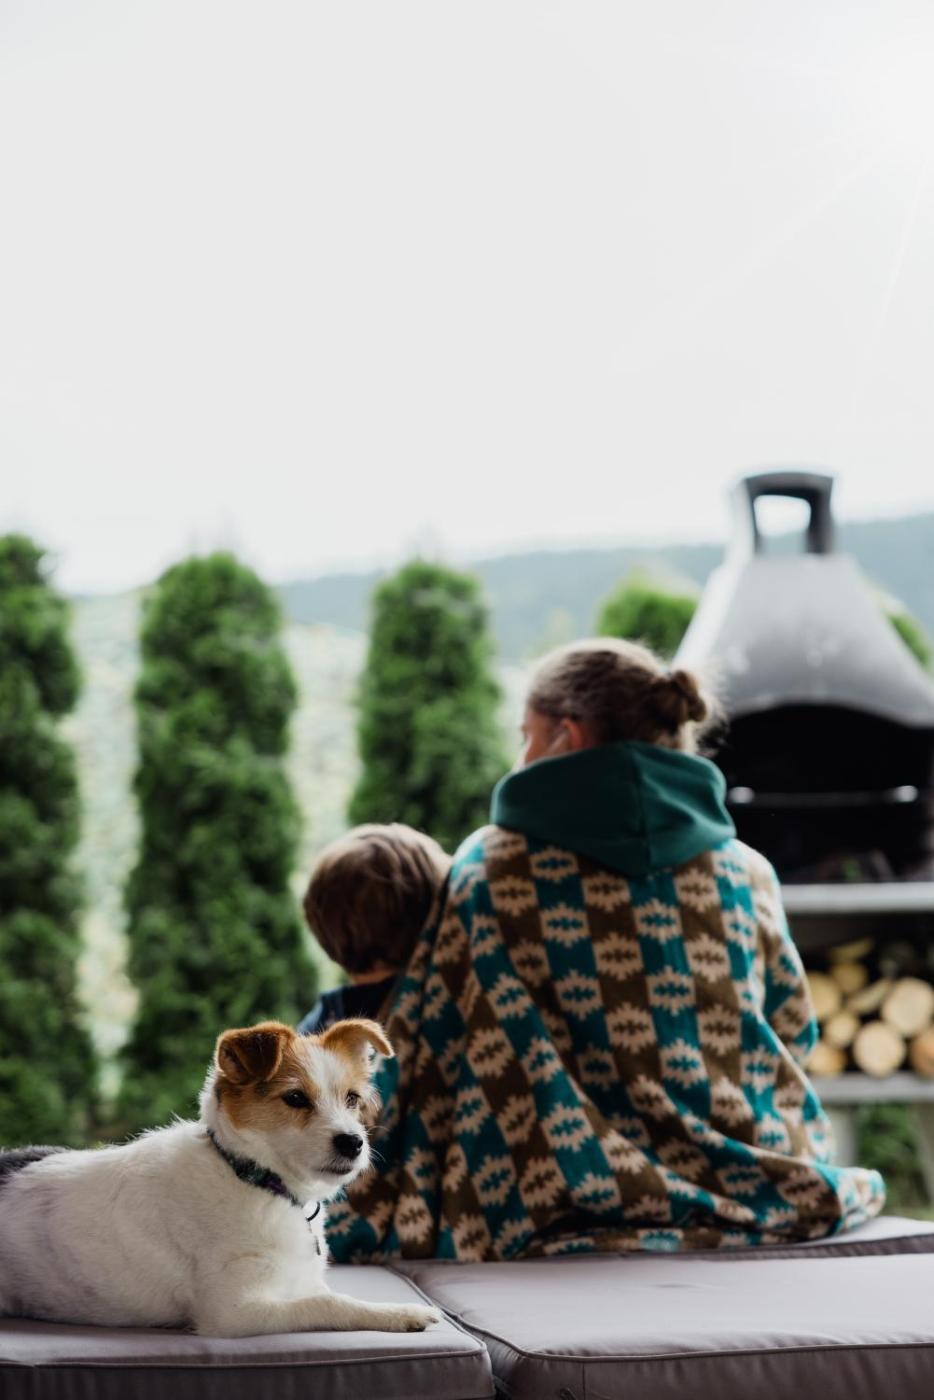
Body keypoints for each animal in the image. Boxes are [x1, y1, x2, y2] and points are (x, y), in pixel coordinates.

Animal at [0, 1018, 440, 1337]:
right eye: (295, 1098)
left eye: (352, 1098)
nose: (353, 1143)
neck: (251, 1176)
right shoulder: (235, 1312)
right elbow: (329, 1304)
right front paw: (406, 1312)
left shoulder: (298, 1282)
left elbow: (337, 1296)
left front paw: (391, 1311)